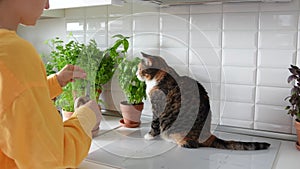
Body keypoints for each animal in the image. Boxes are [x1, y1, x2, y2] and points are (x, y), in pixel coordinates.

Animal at [137, 52, 270, 150]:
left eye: (139, 69)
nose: (136, 74)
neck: (161, 74)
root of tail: (207, 135)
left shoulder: (157, 107)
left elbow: (154, 124)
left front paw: (149, 136)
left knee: (190, 144)